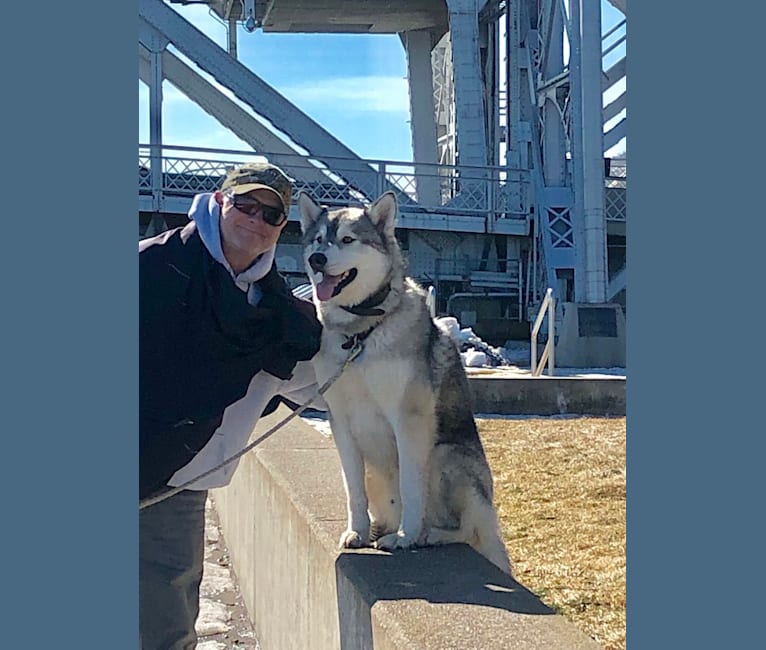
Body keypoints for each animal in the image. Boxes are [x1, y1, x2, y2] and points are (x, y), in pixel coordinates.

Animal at [304, 189, 512, 572]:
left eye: (348, 240)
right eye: (317, 239)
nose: (316, 258)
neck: (361, 333)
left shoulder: (408, 420)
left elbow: (411, 489)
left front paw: (406, 537)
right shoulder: (340, 421)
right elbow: (353, 489)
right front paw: (356, 531)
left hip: (446, 455)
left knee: (469, 530)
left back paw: (428, 534)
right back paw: (379, 528)